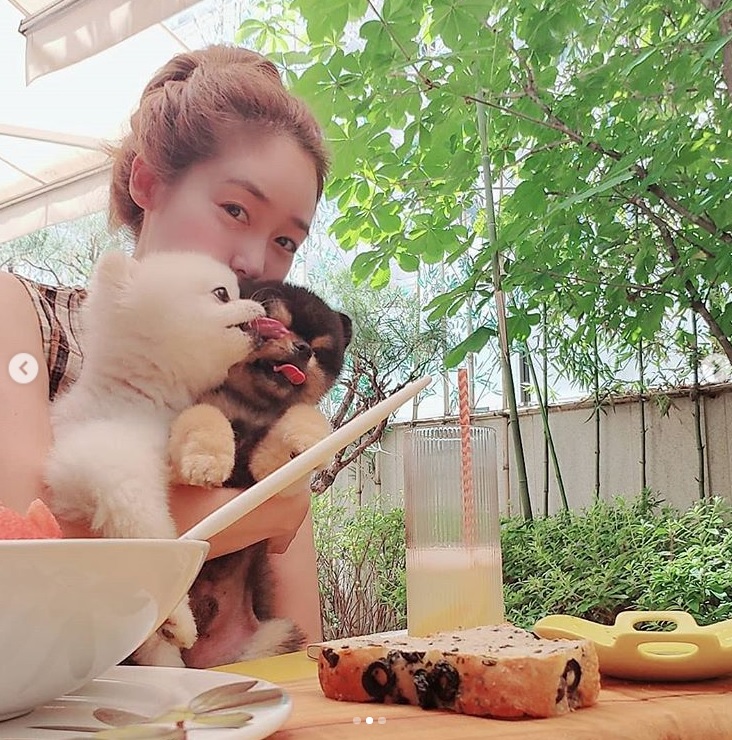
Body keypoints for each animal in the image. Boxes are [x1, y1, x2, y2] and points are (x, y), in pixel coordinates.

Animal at [45, 250, 272, 666]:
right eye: (222, 293)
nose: (259, 305)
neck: (143, 395)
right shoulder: (103, 458)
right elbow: (148, 526)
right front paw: (178, 615)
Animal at [167, 279, 351, 668]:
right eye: (274, 324)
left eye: (318, 351)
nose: (301, 349)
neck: (249, 407)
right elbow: (205, 416)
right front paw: (207, 459)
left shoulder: (266, 471)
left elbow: (295, 425)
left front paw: (304, 441)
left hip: (273, 637)